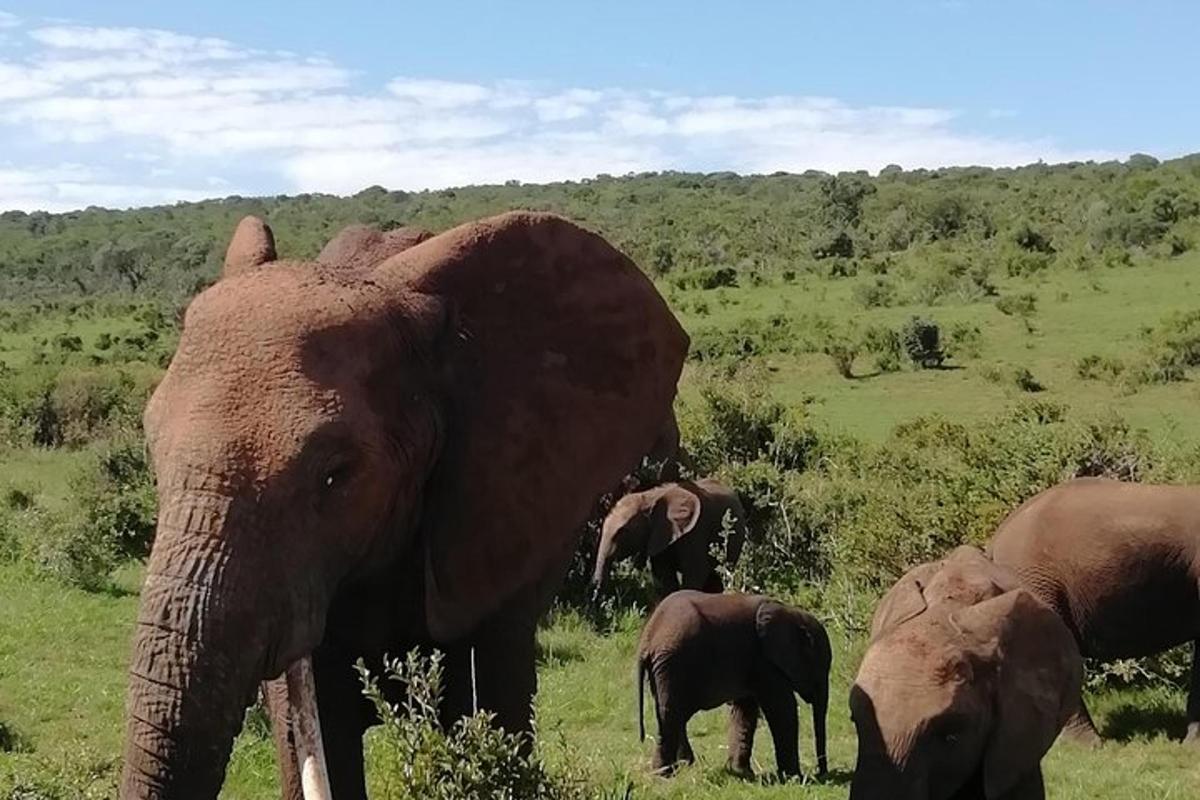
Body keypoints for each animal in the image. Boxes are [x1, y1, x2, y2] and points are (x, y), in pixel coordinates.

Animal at [590, 474, 748, 599]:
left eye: (623, 532)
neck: (649, 497)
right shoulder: (660, 535)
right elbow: (664, 575)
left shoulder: (696, 531)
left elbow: (695, 572)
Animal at [633, 592, 830, 777]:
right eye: (820, 670)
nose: (821, 773)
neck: (793, 614)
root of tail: (647, 638)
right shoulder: (764, 661)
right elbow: (783, 708)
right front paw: (794, 777)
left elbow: (745, 710)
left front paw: (742, 773)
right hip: (674, 664)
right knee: (670, 714)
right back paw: (663, 773)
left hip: (664, 668)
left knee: (674, 714)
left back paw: (684, 765)